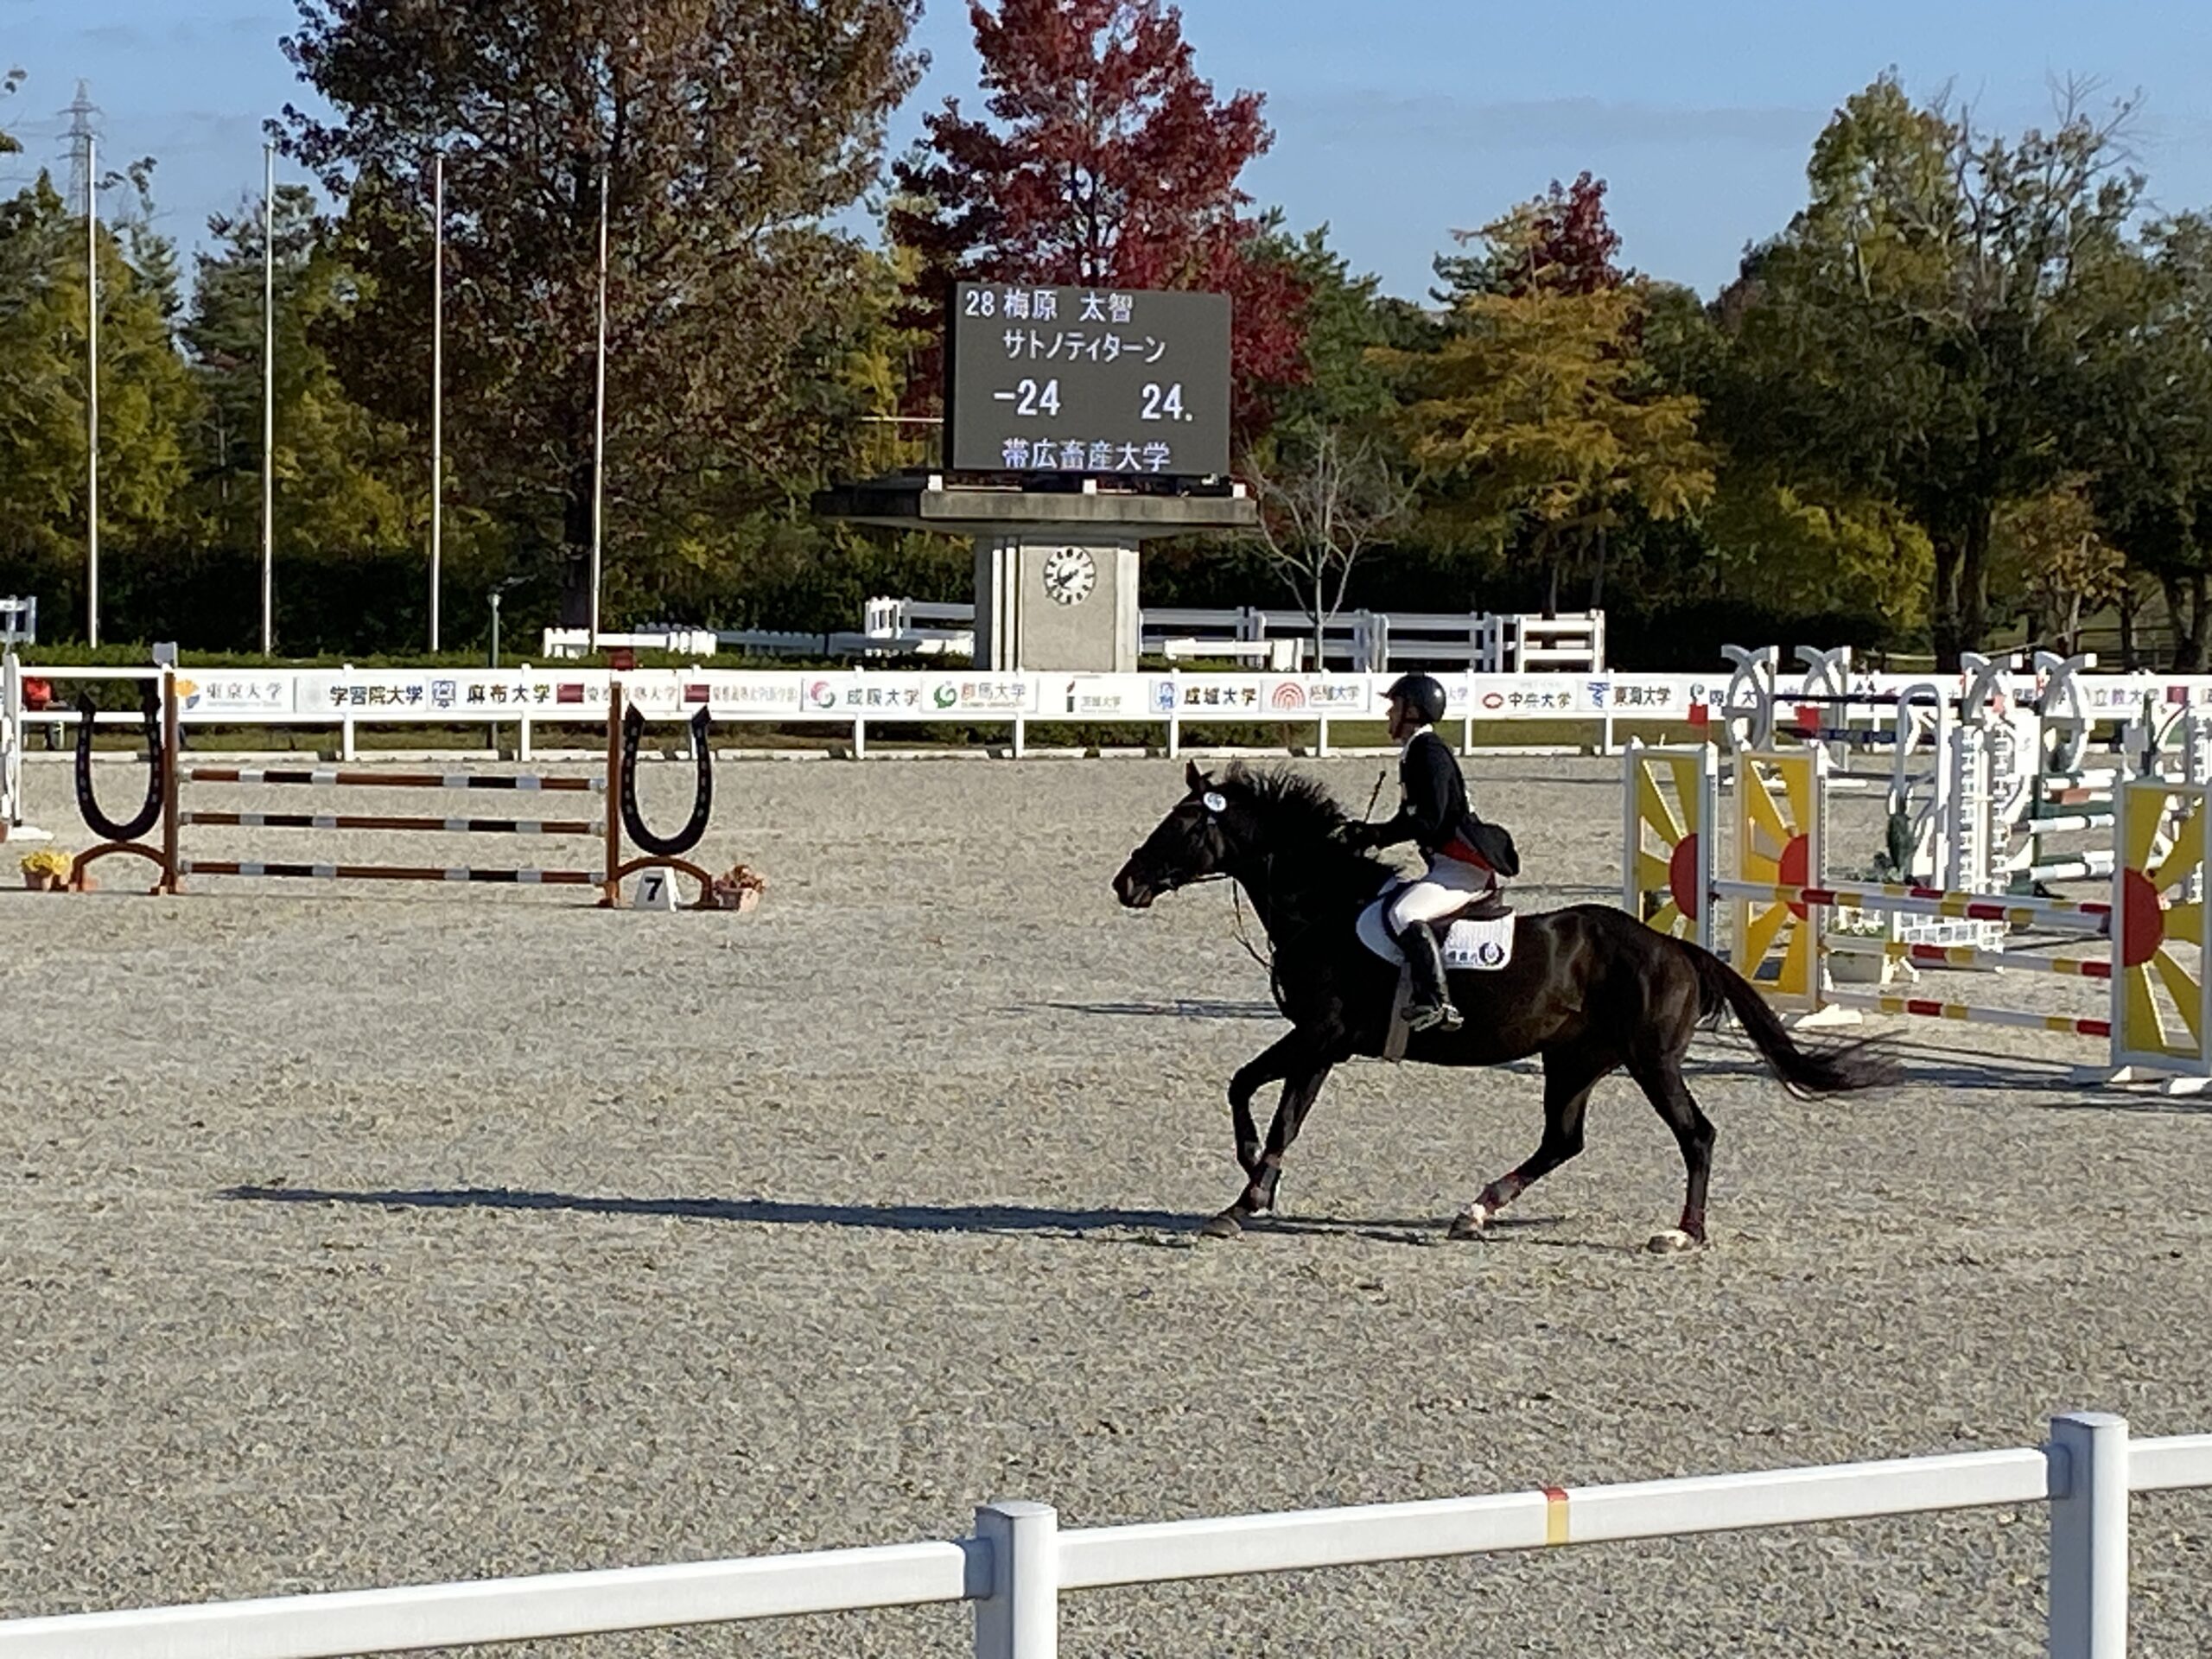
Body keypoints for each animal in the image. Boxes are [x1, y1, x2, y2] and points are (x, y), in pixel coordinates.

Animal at [1111, 762, 1895, 1249]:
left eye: (1183, 824)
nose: (1127, 883)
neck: (1325, 907)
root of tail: (1675, 947)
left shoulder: (1319, 1033)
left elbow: (1254, 1093)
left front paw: (1246, 1187)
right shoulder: (1324, 1044)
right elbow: (1274, 1106)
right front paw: (1252, 1188)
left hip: (1649, 1061)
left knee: (1695, 1135)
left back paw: (1682, 1233)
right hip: (1575, 1060)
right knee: (1562, 1141)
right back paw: (1477, 1210)